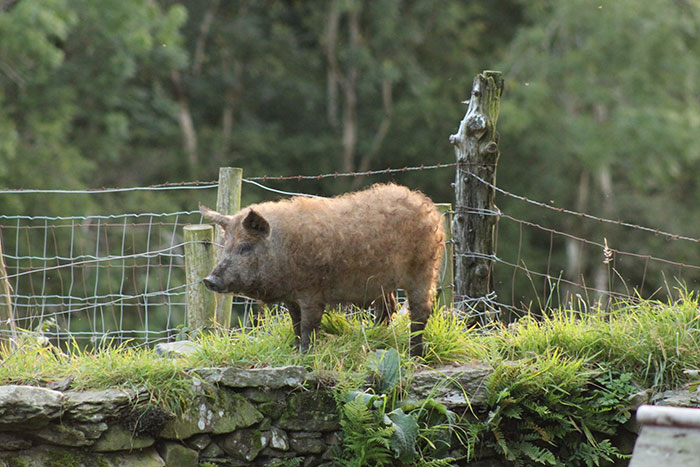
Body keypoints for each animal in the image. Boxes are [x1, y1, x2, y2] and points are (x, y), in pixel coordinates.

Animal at [199, 183, 445, 357]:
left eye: (245, 247)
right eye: (225, 245)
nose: (209, 280)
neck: (283, 250)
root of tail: (427, 206)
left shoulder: (312, 293)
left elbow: (309, 325)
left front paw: (305, 355)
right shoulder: (292, 298)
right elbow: (296, 323)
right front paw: (295, 351)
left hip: (424, 270)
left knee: (421, 312)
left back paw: (414, 355)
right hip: (383, 282)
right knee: (388, 308)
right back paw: (374, 337)